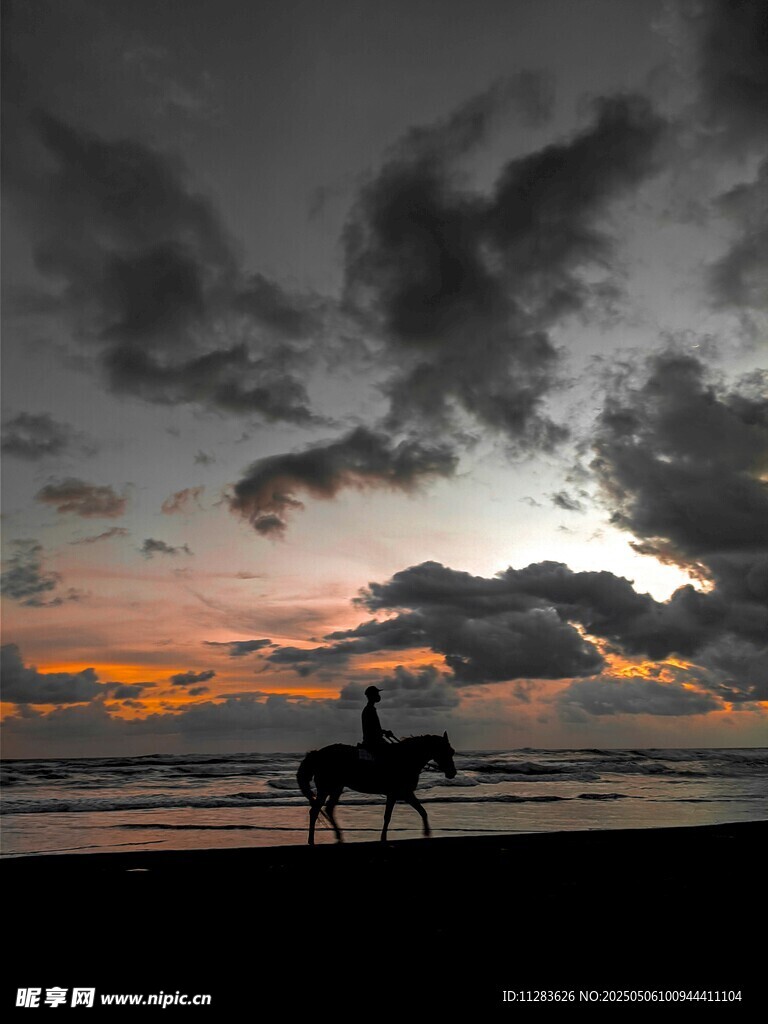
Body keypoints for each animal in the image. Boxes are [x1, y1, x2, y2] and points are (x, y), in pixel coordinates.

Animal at [297, 732, 457, 845]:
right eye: (447, 751)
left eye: (452, 751)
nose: (452, 773)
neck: (405, 758)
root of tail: (317, 754)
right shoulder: (399, 793)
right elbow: (388, 816)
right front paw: (384, 837)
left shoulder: (403, 793)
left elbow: (422, 811)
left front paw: (427, 833)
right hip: (326, 788)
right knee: (315, 811)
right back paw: (311, 840)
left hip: (336, 788)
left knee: (328, 809)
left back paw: (339, 836)